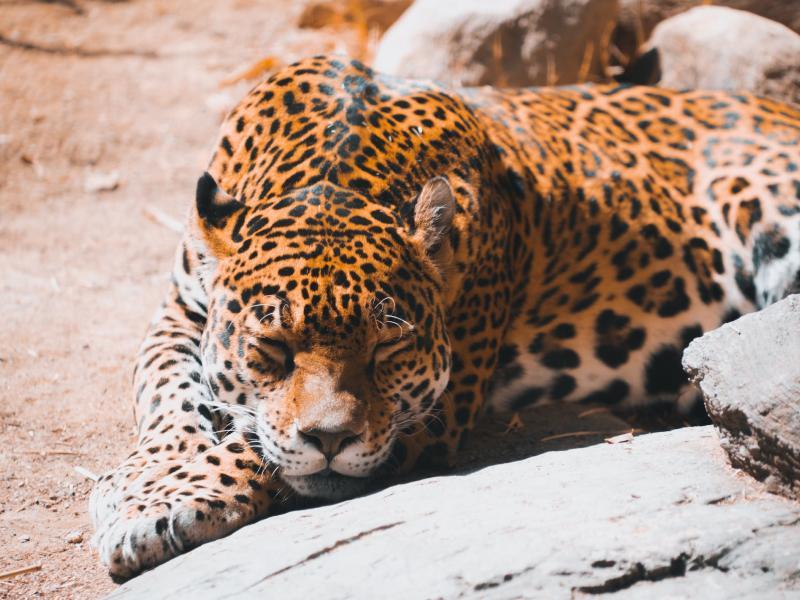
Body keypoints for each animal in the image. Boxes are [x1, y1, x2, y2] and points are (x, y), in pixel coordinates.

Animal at [90, 55, 800, 579]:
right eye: (272, 349)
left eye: (386, 351)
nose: (331, 441)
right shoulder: (178, 311)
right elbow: (166, 390)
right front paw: (149, 477)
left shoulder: (437, 405)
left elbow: (258, 444)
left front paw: (164, 500)